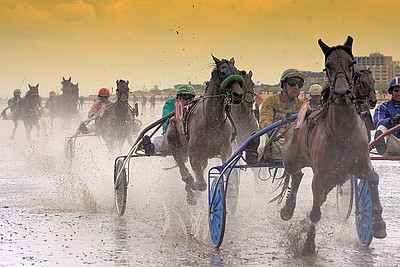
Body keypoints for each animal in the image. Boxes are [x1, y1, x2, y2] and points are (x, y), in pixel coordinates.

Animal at [166, 55, 244, 205]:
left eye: (236, 70)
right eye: (223, 71)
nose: (238, 95)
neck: (212, 121)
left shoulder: (225, 147)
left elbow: (225, 169)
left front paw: (230, 189)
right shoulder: (194, 153)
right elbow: (201, 184)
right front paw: (194, 186)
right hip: (173, 141)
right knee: (181, 164)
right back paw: (189, 184)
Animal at [280, 36, 386, 255]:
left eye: (351, 63)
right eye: (327, 66)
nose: (341, 91)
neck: (342, 133)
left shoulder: (358, 163)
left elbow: (373, 177)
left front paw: (378, 222)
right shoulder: (320, 176)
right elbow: (315, 213)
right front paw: (308, 243)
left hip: (334, 178)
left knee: (309, 186)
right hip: (291, 159)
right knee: (296, 174)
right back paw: (288, 209)